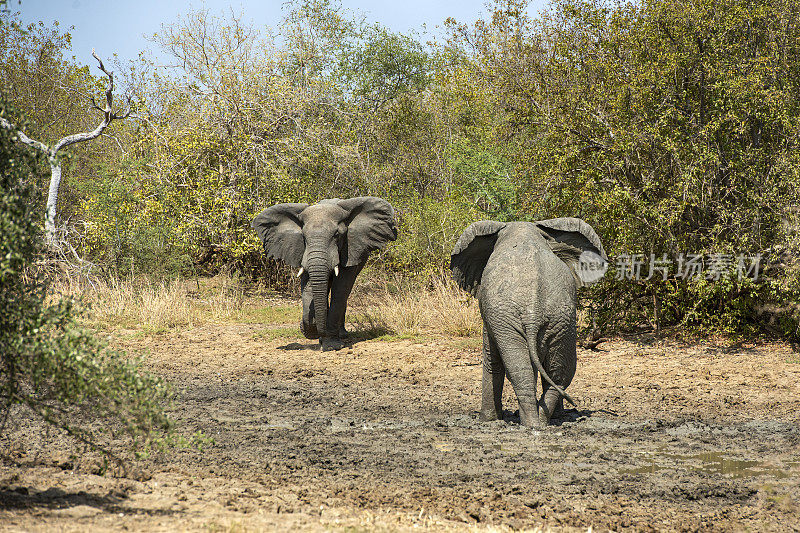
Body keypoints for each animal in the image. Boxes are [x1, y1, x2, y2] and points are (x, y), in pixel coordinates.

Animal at [253, 197, 396, 352]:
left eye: (337, 235)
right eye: (303, 237)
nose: (319, 333)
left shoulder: (349, 249)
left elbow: (340, 289)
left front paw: (331, 345)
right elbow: (309, 287)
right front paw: (315, 331)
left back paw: (342, 334)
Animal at [450, 217, 608, 428]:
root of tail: (534, 312)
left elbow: (491, 358)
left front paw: (486, 420)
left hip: (512, 321)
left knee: (520, 369)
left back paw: (530, 424)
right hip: (561, 321)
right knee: (560, 371)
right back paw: (542, 421)